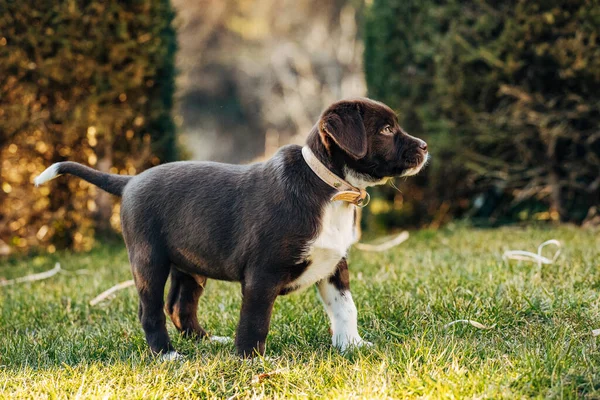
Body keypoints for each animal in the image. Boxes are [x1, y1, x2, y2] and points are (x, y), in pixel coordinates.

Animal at [35, 97, 428, 360]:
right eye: (387, 130)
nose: (425, 146)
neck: (331, 190)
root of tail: (130, 181)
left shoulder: (333, 265)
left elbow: (346, 308)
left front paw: (353, 345)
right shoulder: (262, 273)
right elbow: (255, 320)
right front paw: (251, 360)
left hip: (189, 265)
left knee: (179, 306)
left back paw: (206, 340)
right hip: (149, 260)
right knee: (151, 311)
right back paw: (167, 355)